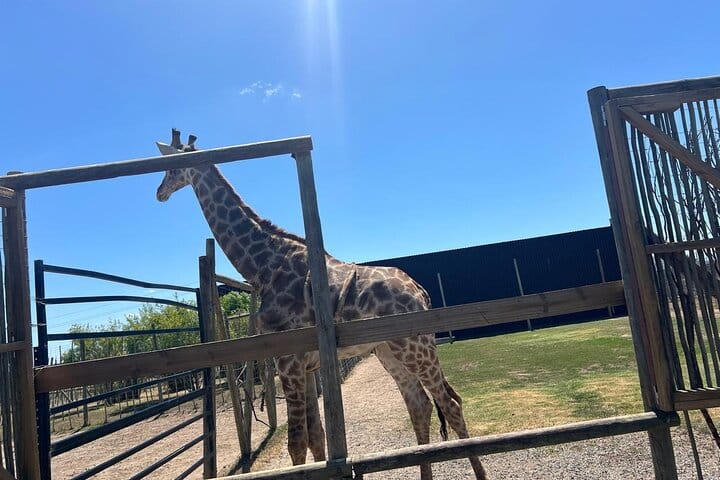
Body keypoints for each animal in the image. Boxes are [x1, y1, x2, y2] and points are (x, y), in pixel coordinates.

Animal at [155, 129, 488, 480]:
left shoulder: (288, 359)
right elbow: (317, 439)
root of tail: (421, 292)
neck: (263, 265)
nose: (159, 192)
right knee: (420, 406)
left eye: (171, 167)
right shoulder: (305, 363)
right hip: (389, 350)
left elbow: (297, 444)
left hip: (416, 346)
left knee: (450, 403)